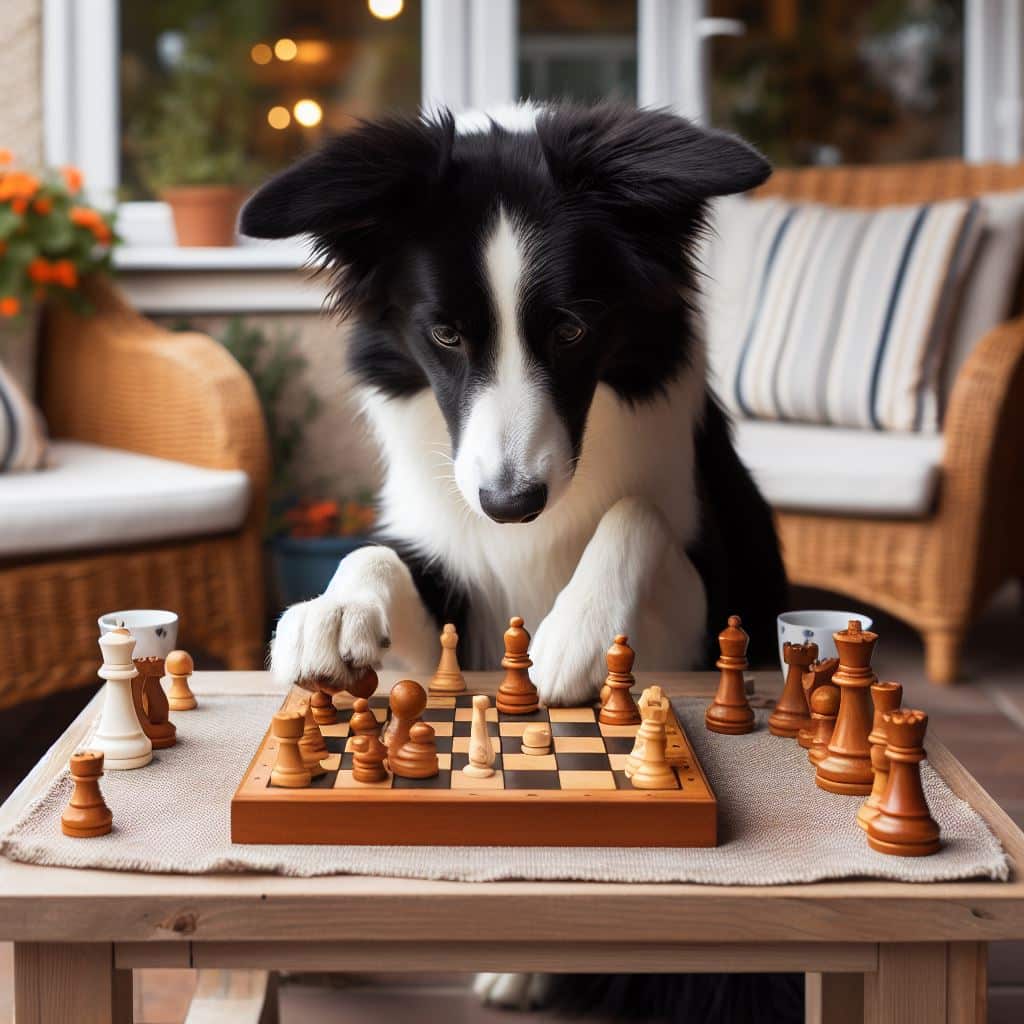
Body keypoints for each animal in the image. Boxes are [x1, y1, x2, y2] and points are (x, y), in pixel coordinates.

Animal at [243, 99, 786, 712]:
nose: (509, 505)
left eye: (571, 330)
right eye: (446, 334)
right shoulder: (452, 623)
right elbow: (374, 554)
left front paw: (578, 629)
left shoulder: (699, 624)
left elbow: (636, 511)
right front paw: (336, 611)